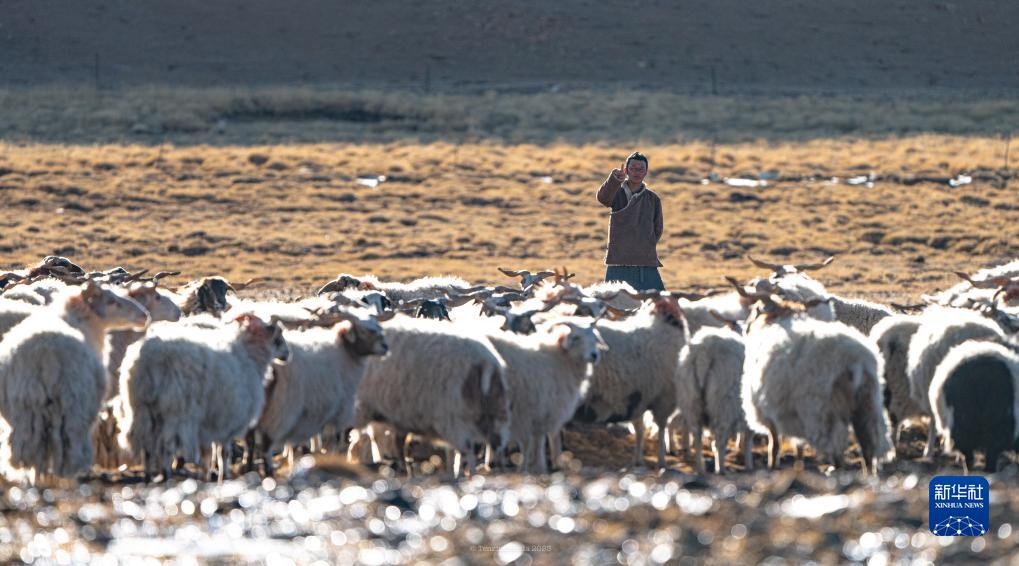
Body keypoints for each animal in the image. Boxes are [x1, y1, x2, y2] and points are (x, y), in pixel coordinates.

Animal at [0, 283, 148, 483]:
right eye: (111, 301)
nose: (144, 315)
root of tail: (45, 352)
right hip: (73, 406)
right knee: (70, 446)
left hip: (24, 410)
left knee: (27, 450)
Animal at [117, 312, 289, 481]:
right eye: (276, 335)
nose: (288, 354)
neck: (248, 355)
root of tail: (148, 359)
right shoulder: (229, 419)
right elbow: (223, 452)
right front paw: (224, 476)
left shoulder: (211, 421)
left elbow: (209, 452)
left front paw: (207, 474)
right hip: (174, 411)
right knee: (167, 446)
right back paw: (166, 475)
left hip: (141, 409)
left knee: (146, 445)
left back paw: (148, 477)